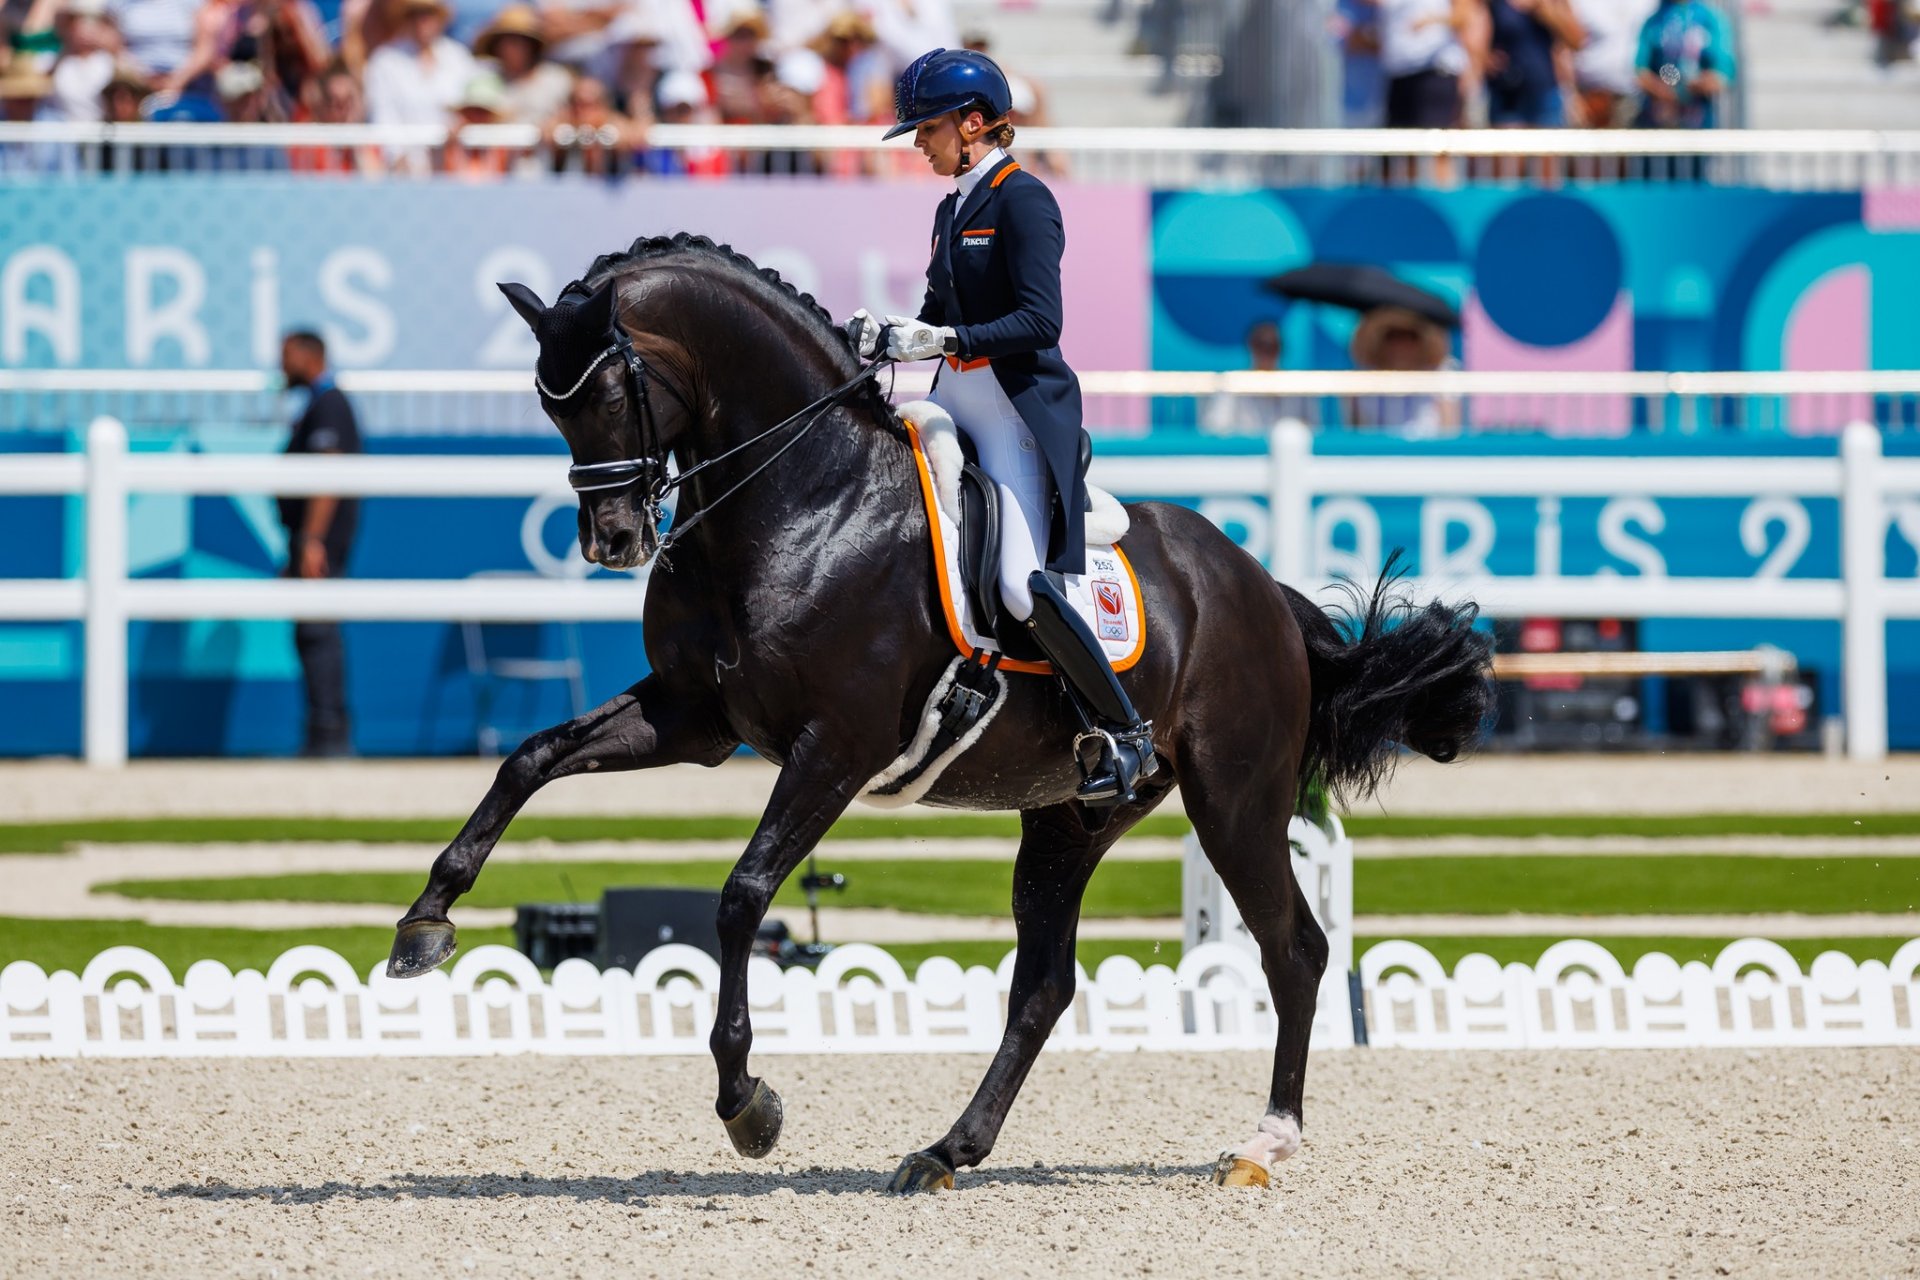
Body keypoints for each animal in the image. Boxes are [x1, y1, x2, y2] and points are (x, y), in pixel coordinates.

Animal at [389, 235, 1489, 1197]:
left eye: (614, 393)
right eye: (549, 404)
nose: (611, 539)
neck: (804, 498)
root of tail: (1262, 587)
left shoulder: (835, 746)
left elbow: (742, 895)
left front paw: (748, 1103)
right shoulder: (696, 719)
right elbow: (531, 758)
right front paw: (424, 924)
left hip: (1236, 801)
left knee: (1293, 947)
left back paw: (1263, 1144)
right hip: (1069, 818)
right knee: (1044, 985)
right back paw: (945, 1151)